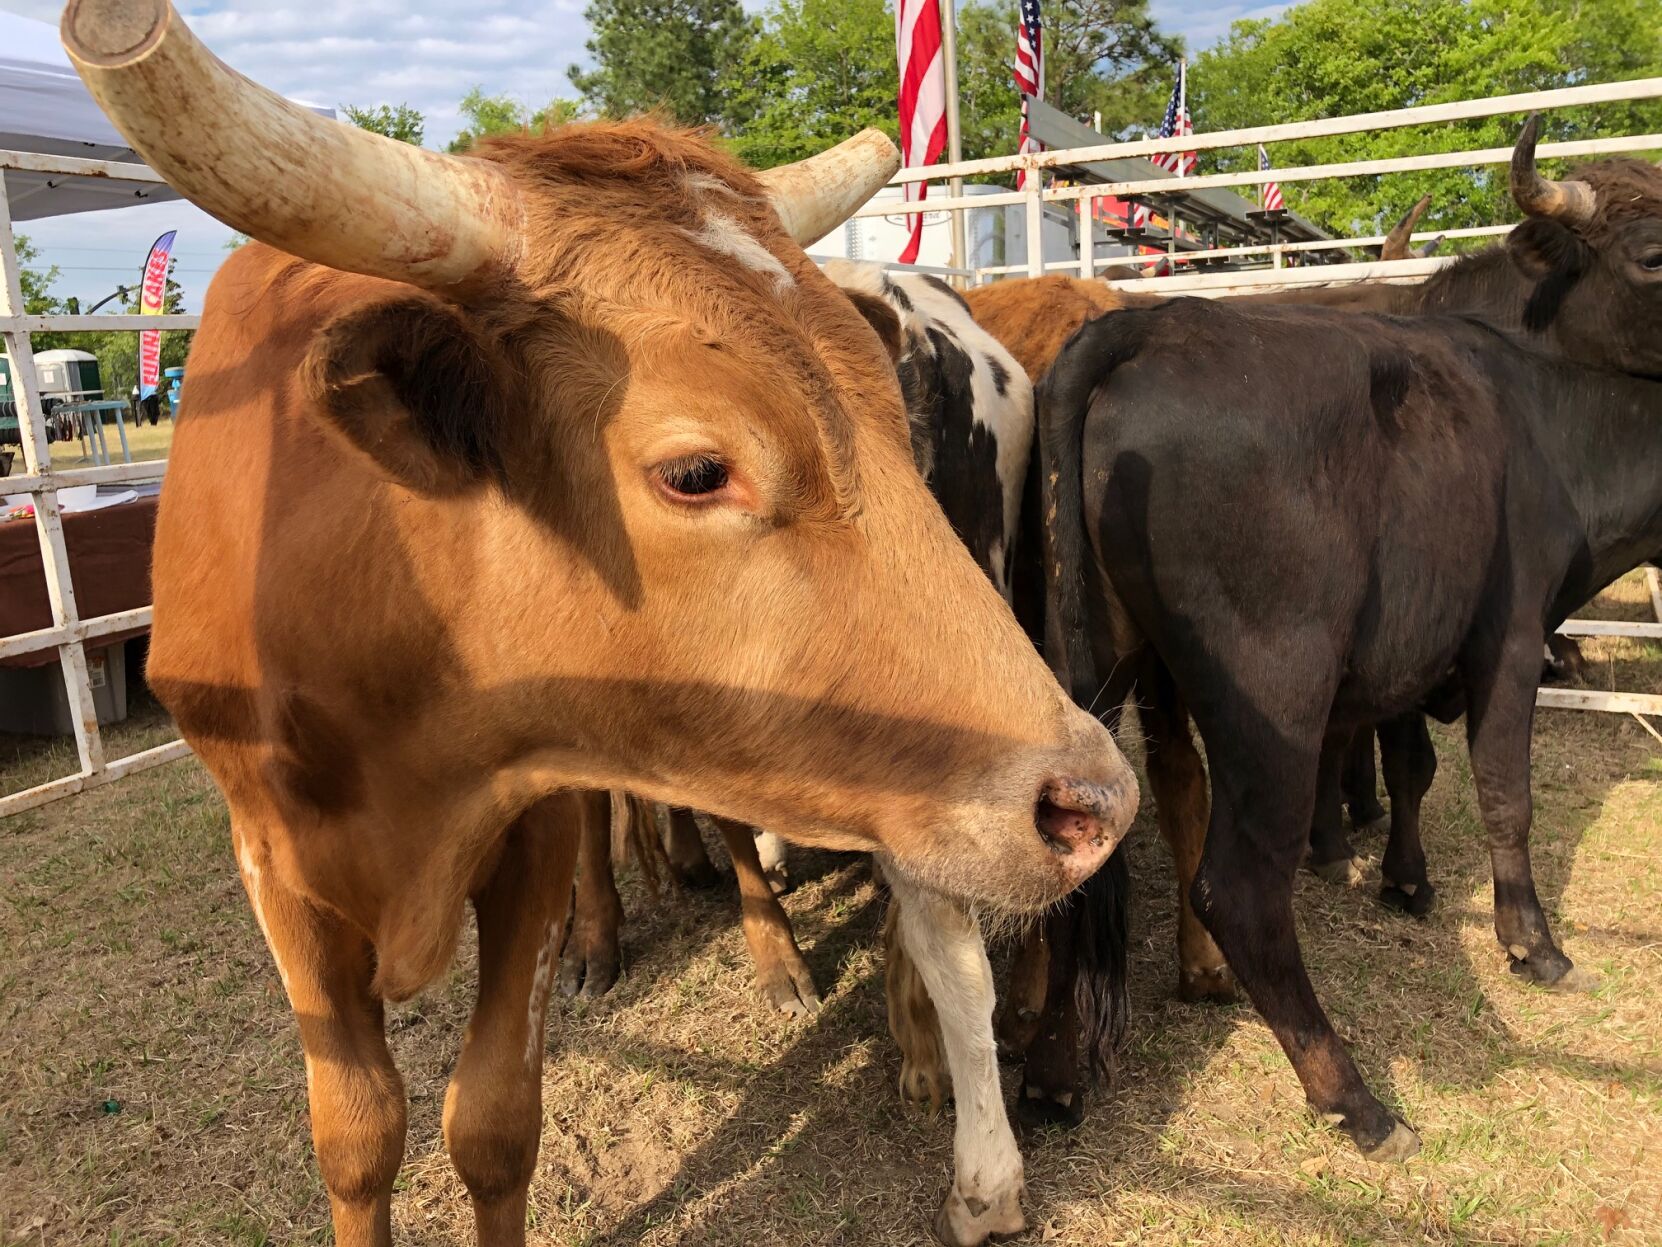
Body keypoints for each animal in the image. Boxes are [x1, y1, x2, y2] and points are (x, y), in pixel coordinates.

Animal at [58, 4, 1136, 1243]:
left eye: (891, 415)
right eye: (696, 470)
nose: (1094, 801)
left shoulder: (528, 822)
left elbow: (491, 1117)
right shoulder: (276, 865)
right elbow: (356, 1131)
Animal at [1037, 117, 1662, 1163]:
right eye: (1654, 254)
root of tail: (1151, 326)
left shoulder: (1407, 652)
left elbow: (1413, 767)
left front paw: (1403, 878)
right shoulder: (1506, 634)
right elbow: (1505, 793)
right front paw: (1532, 942)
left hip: (1091, 668)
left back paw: (1050, 1077)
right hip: (1274, 696)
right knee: (1239, 889)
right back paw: (1354, 1096)